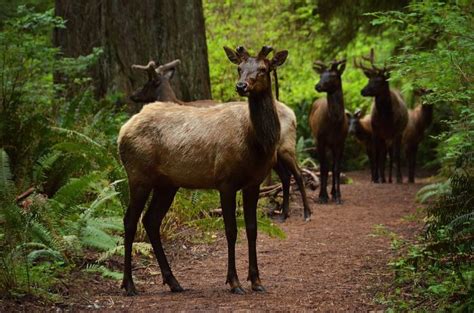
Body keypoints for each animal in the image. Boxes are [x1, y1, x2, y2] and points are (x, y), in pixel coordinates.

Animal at [117, 44, 288, 294]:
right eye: (239, 68)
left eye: (264, 69)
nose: (241, 86)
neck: (255, 143)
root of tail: (122, 132)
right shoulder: (225, 181)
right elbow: (231, 231)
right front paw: (234, 282)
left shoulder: (253, 182)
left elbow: (252, 229)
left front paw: (257, 281)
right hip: (138, 175)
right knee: (130, 220)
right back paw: (129, 285)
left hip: (167, 184)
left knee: (150, 220)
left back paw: (173, 281)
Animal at [131, 58, 312, 219]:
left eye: (147, 83)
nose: (133, 95)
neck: (174, 101)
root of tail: (293, 115)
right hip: (274, 155)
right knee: (285, 176)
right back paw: (284, 213)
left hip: (286, 146)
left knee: (298, 173)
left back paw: (306, 213)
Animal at [308, 58, 348, 204]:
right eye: (321, 75)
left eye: (334, 75)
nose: (317, 86)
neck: (334, 123)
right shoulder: (320, 140)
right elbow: (323, 168)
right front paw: (322, 196)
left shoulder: (341, 142)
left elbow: (336, 168)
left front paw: (338, 196)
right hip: (317, 139)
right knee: (325, 165)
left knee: (332, 165)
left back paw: (333, 192)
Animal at [356, 48, 408, 183]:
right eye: (369, 80)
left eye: (379, 81)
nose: (362, 91)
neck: (386, 118)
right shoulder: (375, 131)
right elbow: (377, 155)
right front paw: (375, 178)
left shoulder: (397, 132)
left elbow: (396, 155)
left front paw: (398, 178)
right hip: (384, 136)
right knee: (383, 154)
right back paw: (382, 178)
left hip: (397, 133)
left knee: (393, 155)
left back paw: (391, 178)